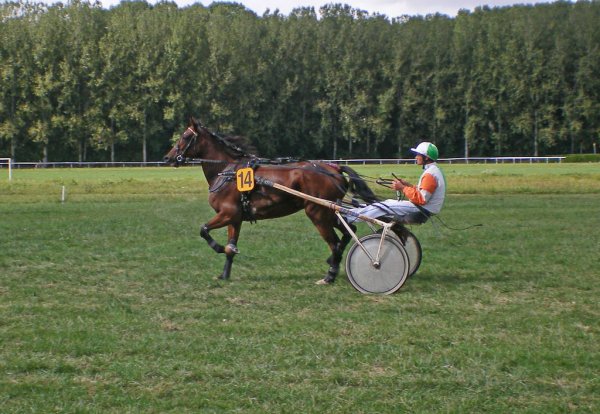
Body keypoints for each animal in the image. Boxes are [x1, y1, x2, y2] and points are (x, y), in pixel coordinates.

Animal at [163, 118, 380, 284]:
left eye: (185, 137)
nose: (168, 158)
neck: (227, 171)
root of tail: (334, 169)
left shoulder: (227, 213)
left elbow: (203, 229)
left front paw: (218, 247)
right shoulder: (235, 218)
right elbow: (231, 246)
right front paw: (224, 273)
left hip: (317, 213)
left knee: (334, 243)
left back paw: (330, 275)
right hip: (328, 211)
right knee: (347, 233)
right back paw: (333, 261)